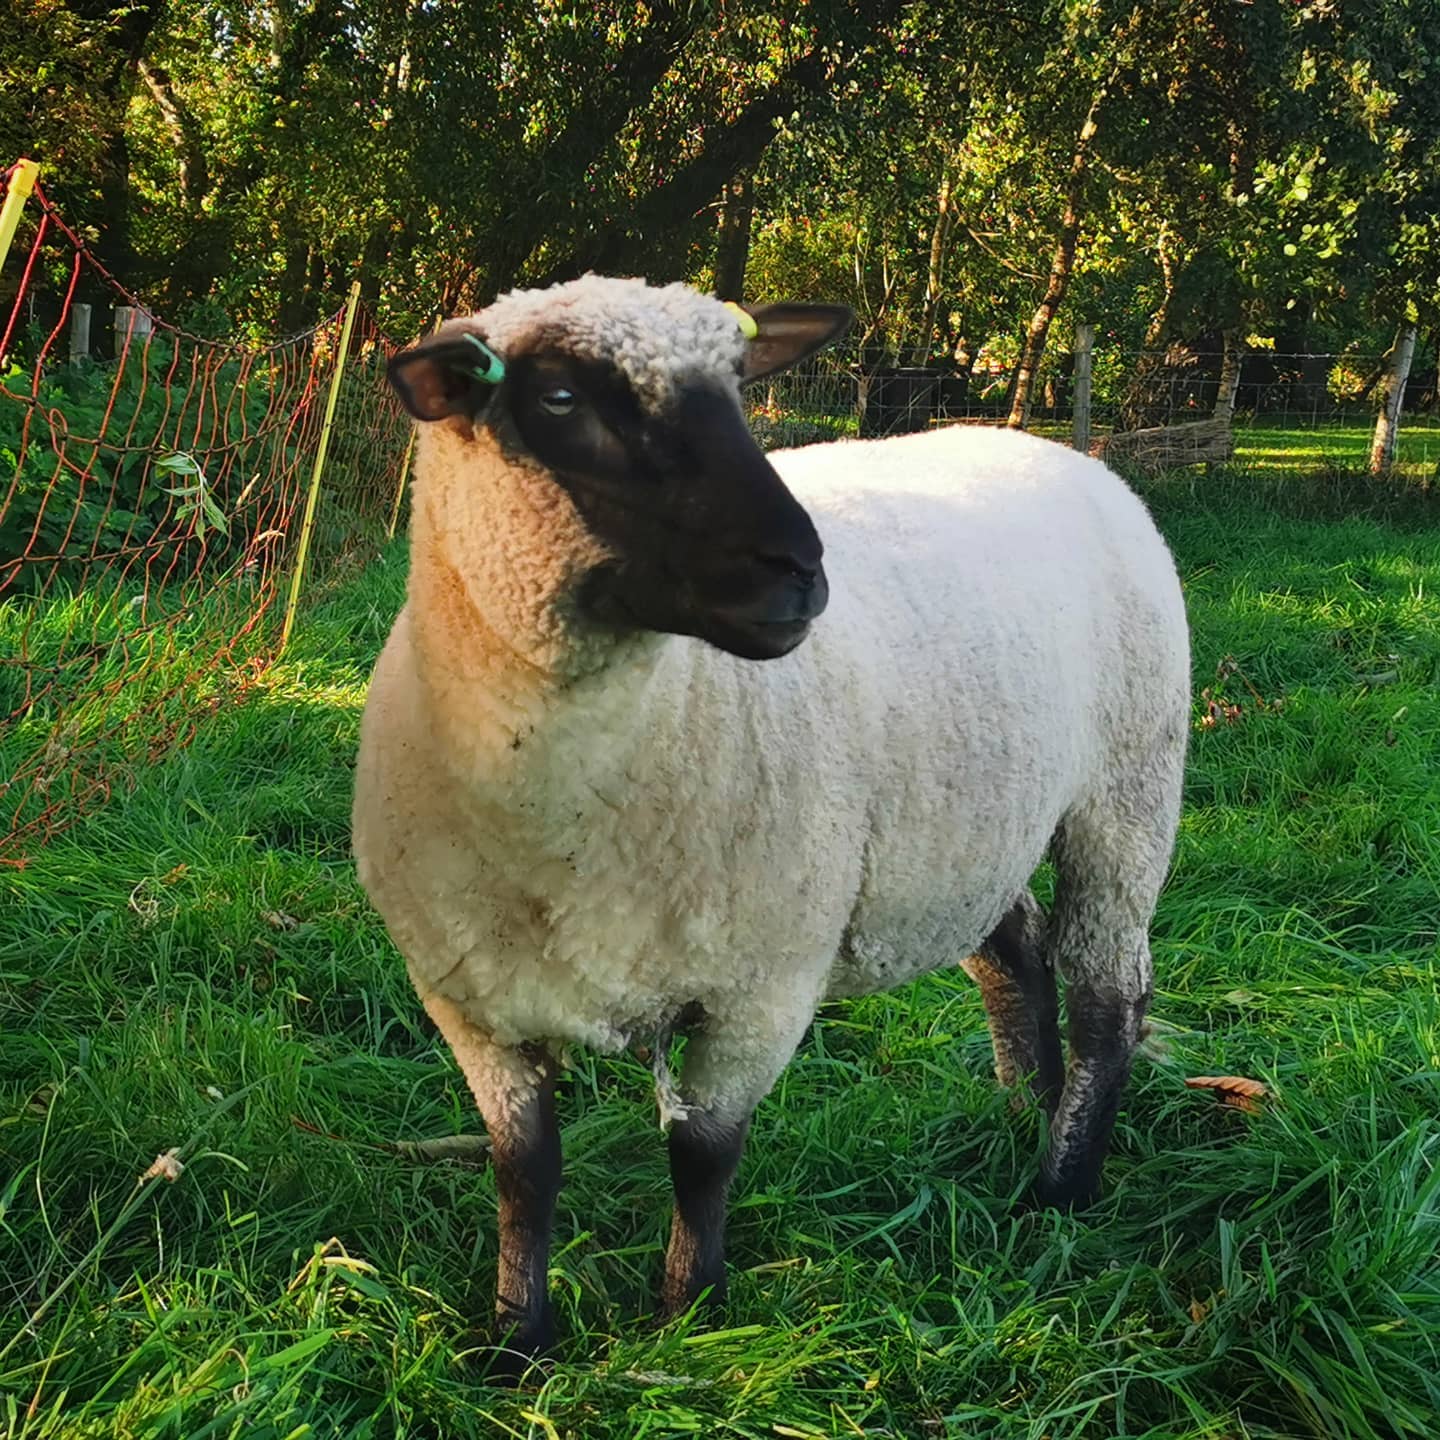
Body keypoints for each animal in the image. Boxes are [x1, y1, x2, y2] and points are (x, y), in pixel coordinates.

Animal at [352, 275, 1190, 1365]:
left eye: (742, 387)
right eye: (561, 398)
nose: (800, 571)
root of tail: (1063, 453)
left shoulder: (759, 986)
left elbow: (703, 1156)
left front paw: (684, 1320)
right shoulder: (471, 1003)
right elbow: (524, 1172)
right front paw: (515, 1342)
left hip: (1128, 793)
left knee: (1108, 995)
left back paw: (1061, 1185)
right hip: (969, 827)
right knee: (1013, 956)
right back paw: (1023, 1110)